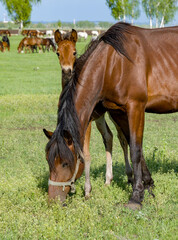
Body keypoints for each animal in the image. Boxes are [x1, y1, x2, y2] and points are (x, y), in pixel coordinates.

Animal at [43, 23, 178, 210]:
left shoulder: (136, 107)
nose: (53, 202)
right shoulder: (118, 111)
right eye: (48, 161)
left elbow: (135, 150)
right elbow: (131, 144)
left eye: (65, 163)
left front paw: (136, 196)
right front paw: (148, 185)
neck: (113, 63)